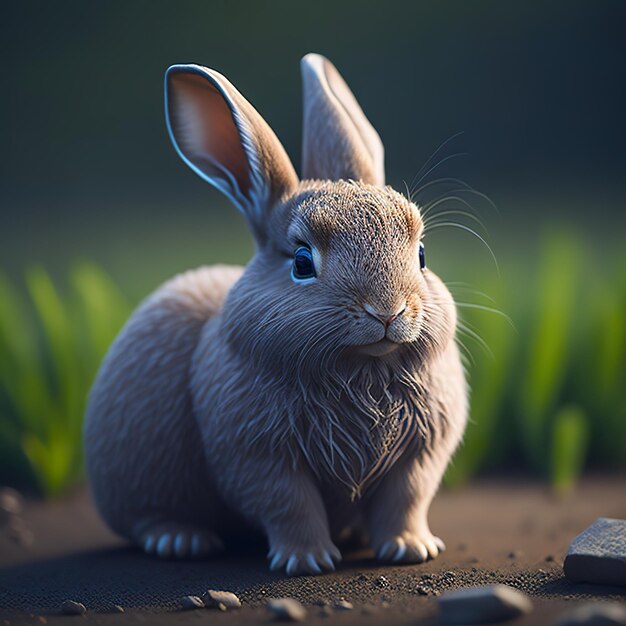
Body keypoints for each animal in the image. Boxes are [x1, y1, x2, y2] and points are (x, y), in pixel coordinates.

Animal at [83, 53, 466, 576]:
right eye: (302, 262)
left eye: (422, 255)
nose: (388, 309)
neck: (361, 368)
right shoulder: (256, 455)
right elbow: (289, 504)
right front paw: (307, 560)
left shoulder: (421, 454)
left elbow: (405, 499)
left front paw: (410, 549)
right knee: (146, 518)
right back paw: (180, 540)